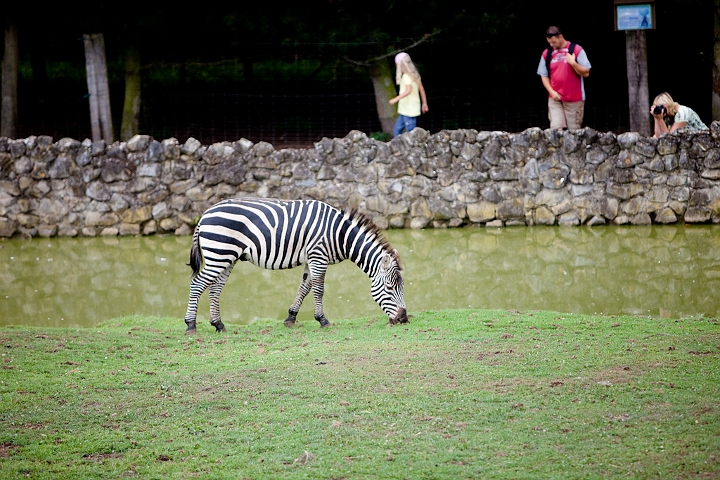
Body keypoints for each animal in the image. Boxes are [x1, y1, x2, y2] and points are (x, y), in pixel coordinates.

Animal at [183, 198, 407, 333]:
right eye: (390, 287)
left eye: (401, 287)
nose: (404, 319)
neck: (339, 235)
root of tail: (204, 214)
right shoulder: (318, 256)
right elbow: (318, 289)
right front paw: (323, 320)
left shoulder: (311, 259)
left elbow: (305, 287)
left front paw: (291, 317)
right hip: (219, 253)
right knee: (197, 284)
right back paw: (191, 325)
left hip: (227, 257)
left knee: (215, 288)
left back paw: (218, 324)